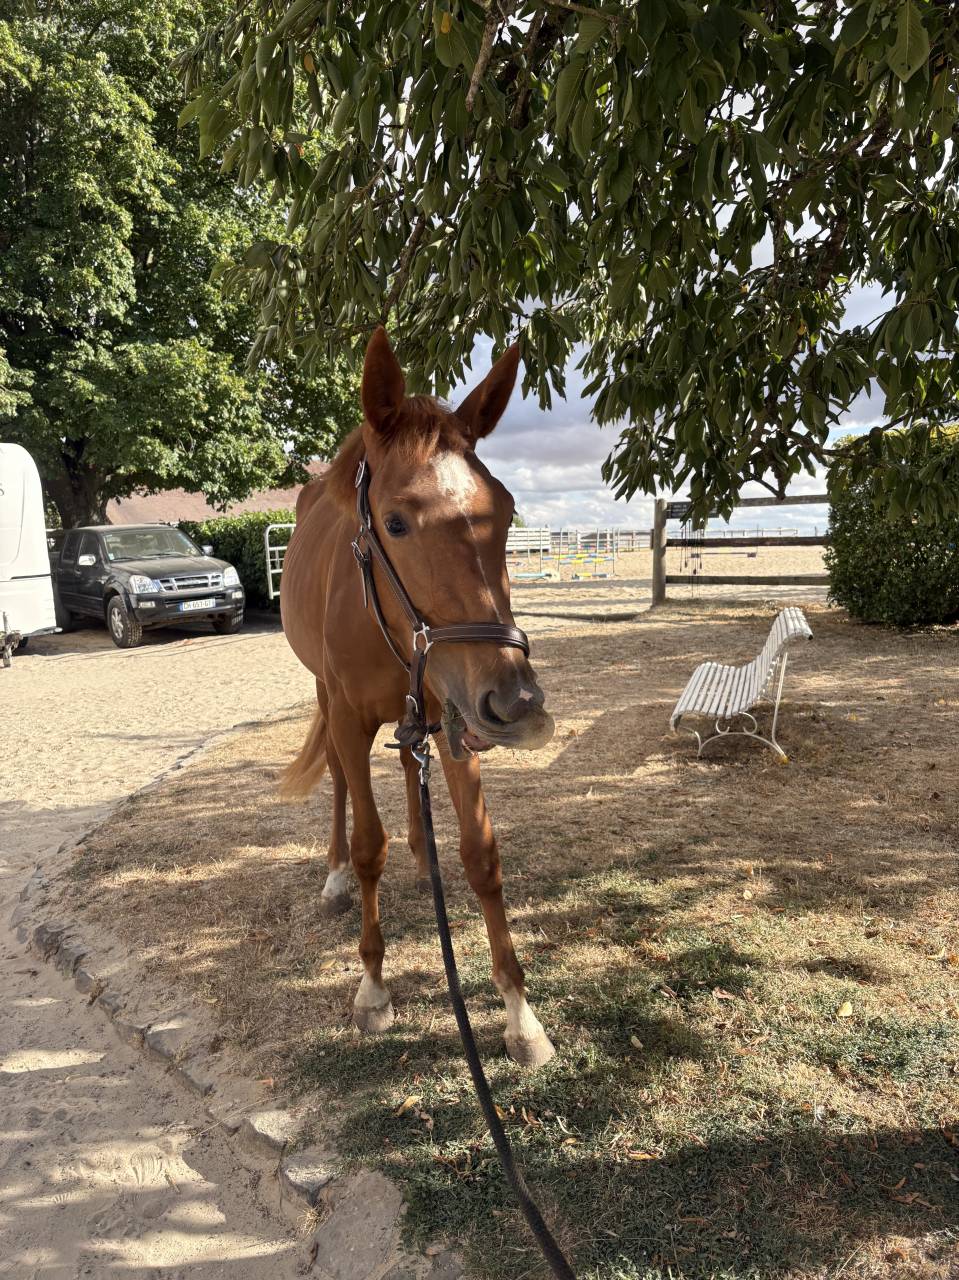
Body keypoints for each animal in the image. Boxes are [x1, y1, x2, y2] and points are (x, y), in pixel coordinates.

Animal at [279, 328, 557, 1068]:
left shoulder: (459, 716)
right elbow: (368, 842)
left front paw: (520, 1016)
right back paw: (335, 877)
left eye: (506, 511)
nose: (518, 703)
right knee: (342, 787)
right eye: (397, 523)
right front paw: (373, 990)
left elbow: (481, 854)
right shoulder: (351, 719)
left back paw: (420, 847)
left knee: (409, 762)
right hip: (327, 698)